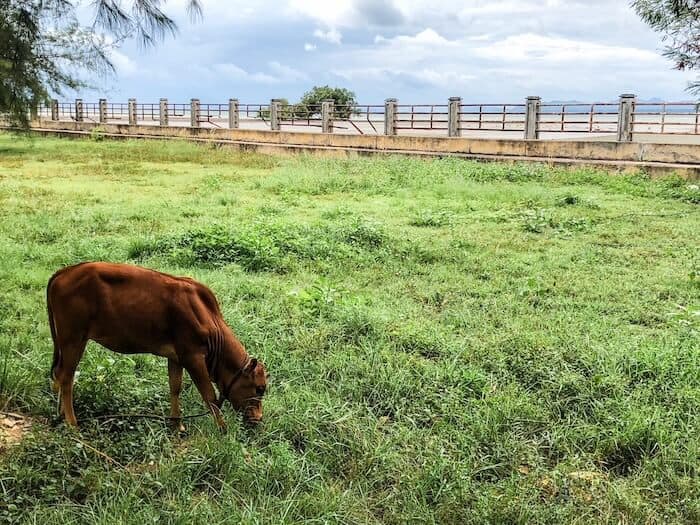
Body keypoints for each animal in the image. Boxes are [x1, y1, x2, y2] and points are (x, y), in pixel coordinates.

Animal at [46, 262, 267, 432]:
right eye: (259, 388)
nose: (259, 418)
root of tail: (65, 271)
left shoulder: (177, 356)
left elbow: (175, 388)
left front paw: (177, 425)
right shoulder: (193, 356)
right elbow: (209, 395)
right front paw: (223, 428)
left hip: (68, 341)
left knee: (59, 374)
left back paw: (61, 413)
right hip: (73, 338)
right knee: (66, 378)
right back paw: (72, 423)